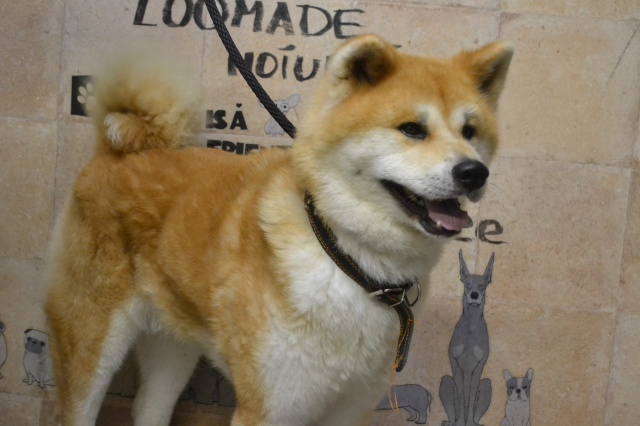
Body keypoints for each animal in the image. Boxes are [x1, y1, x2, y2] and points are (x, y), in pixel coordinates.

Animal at [440, 251, 495, 426]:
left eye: (482, 285)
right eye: (468, 284)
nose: (474, 295)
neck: (471, 327)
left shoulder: (480, 364)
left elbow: (470, 397)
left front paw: (468, 421)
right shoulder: (454, 361)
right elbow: (461, 393)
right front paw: (459, 422)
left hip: (487, 384)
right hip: (445, 380)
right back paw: (451, 422)